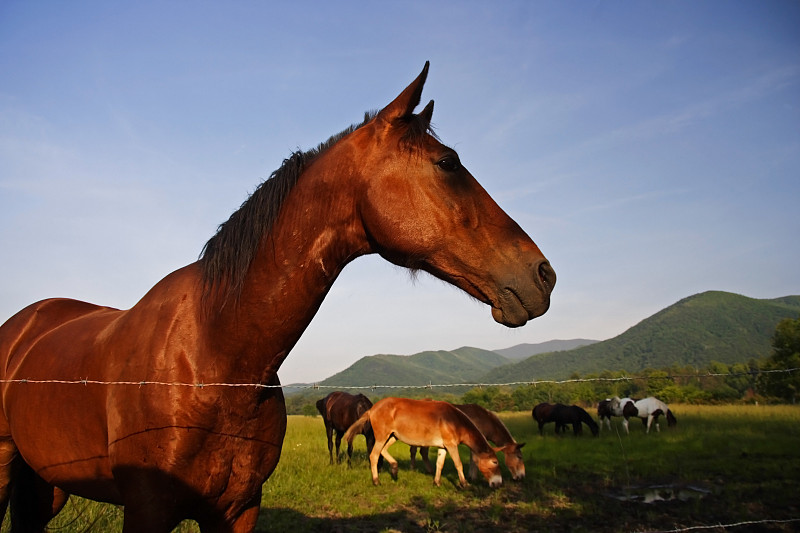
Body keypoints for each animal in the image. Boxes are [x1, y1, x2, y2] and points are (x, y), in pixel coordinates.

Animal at [342, 394, 504, 486]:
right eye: (495, 462)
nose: (498, 484)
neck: (454, 421)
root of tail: (372, 409)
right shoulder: (451, 446)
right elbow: (458, 464)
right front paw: (464, 483)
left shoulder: (443, 447)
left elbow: (439, 464)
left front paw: (437, 482)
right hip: (382, 437)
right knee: (374, 455)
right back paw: (376, 481)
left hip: (392, 436)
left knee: (383, 451)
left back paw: (394, 468)